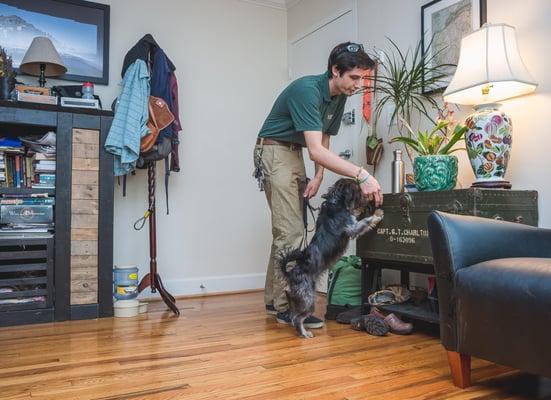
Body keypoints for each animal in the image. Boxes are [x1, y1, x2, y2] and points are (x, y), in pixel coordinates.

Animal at [278, 178, 386, 338]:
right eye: (358, 189)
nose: (370, 198)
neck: (336, 202)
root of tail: (290, 274)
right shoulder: (352, 228)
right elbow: (365, 221)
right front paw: (377, 214)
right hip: (309, 298)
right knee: (297, 319)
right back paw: (305, 333)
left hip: (297, 300)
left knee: (293, 317)